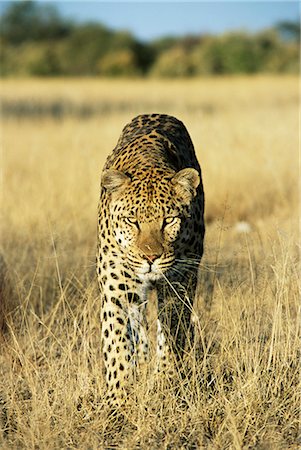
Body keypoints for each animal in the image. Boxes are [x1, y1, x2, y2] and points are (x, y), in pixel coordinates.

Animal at [96, 113, 204, 408]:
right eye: (132, 221)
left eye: (169, 220)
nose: (150, 257)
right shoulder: (117, 288)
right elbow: (117, 342)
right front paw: (118, 399)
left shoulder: (179, 283)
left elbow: (171, 333)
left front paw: (165, 382)